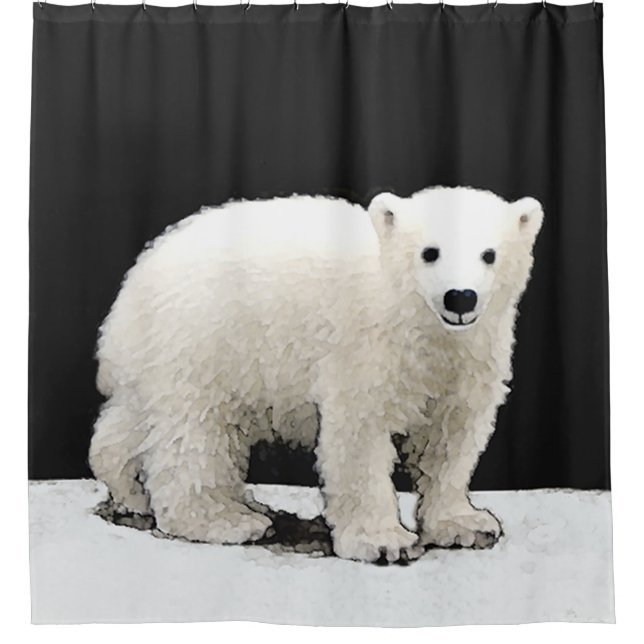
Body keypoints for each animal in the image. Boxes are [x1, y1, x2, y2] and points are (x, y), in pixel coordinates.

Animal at [89, 186, 543, 563]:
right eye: (430, 252)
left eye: (489, 254)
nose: (460, 297)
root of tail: (138, 276)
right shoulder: (365, 348)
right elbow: (359, 437)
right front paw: (383, 541)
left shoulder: (471, 360)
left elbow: (451, 440)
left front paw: (467, 524)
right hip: (205, 339)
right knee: (195, 433)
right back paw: (226, 519)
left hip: (162, 358)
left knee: (134, 422)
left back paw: (132, 491)